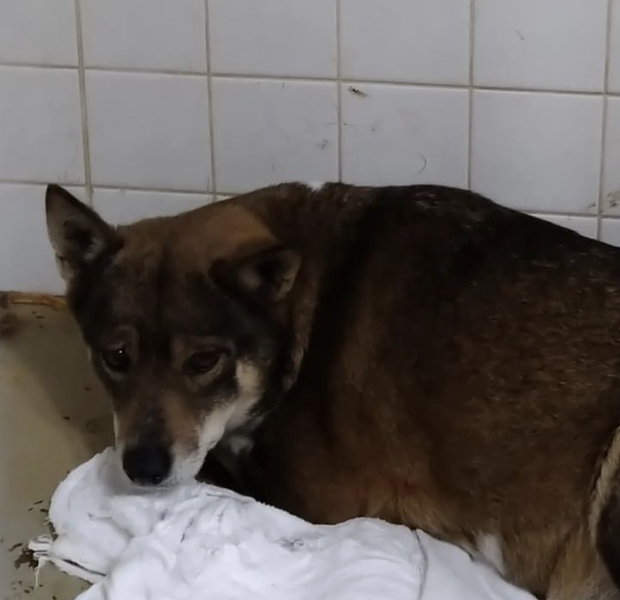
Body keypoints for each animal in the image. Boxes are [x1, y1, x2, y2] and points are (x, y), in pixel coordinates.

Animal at [46, 182, 620, 599]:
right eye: (116, 357)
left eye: (204, 361)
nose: (142, 469)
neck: (307, 308)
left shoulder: (323, 503)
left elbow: (217, 475)